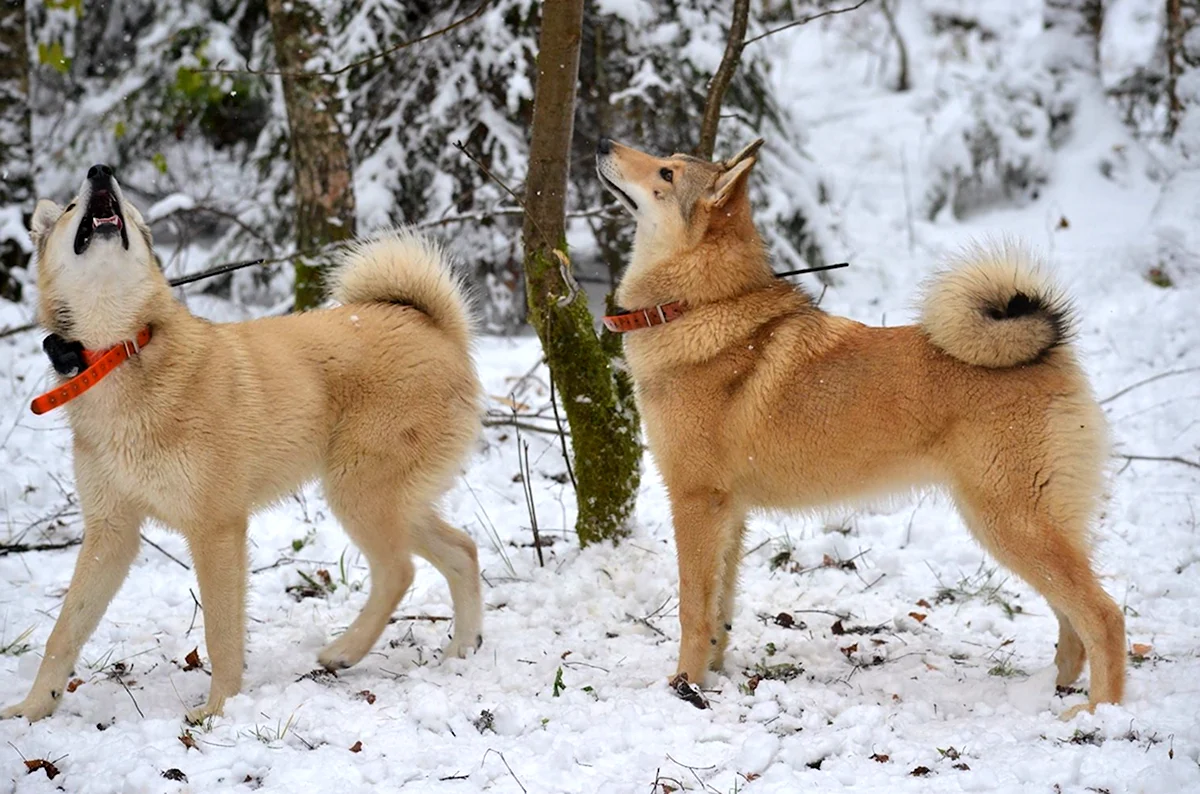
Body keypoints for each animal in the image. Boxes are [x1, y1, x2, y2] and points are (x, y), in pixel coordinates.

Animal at [5, 164, 482, 724]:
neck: (118, 354)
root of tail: (435, 328)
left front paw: (217, 710)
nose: (101, 172)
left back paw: (346, 650)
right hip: (392, 500)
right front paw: (33, 707)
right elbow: (64, 632)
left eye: (128, 211)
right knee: (462, 551)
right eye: (67, 210)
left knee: (399, 571)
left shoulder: (216, 529)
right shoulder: (111, 533)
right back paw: (461, 648)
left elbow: (220, 632)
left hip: (359, 493)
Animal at [597, 139, 1123, 719]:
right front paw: (711, 678)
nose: (602, 144)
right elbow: (720, 611)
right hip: (1028, 525)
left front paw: (684, 687)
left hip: (1010, 523)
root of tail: (1051, 354)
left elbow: (693, 610)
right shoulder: (728, 513)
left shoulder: (696, 503)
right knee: (1071, 618)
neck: (700, 305)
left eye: (666, 173)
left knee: (1104, 615)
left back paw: (1101, 712)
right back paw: (1055, 691)